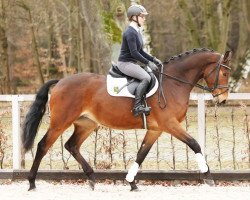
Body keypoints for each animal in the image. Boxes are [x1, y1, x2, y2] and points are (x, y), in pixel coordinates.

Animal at [21, 48, 232, 191]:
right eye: (224, 73)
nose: (222, 99)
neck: (173, 83)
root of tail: (60, 82)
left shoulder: (156, 129)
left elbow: (141, 154)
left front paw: (131, 183)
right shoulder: (169, 124)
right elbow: (194, 144)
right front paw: (208, 176)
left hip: (86, 124)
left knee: (72, 145)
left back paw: (91, 178)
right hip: (60, 122)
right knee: (43, 145)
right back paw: (31, 182)